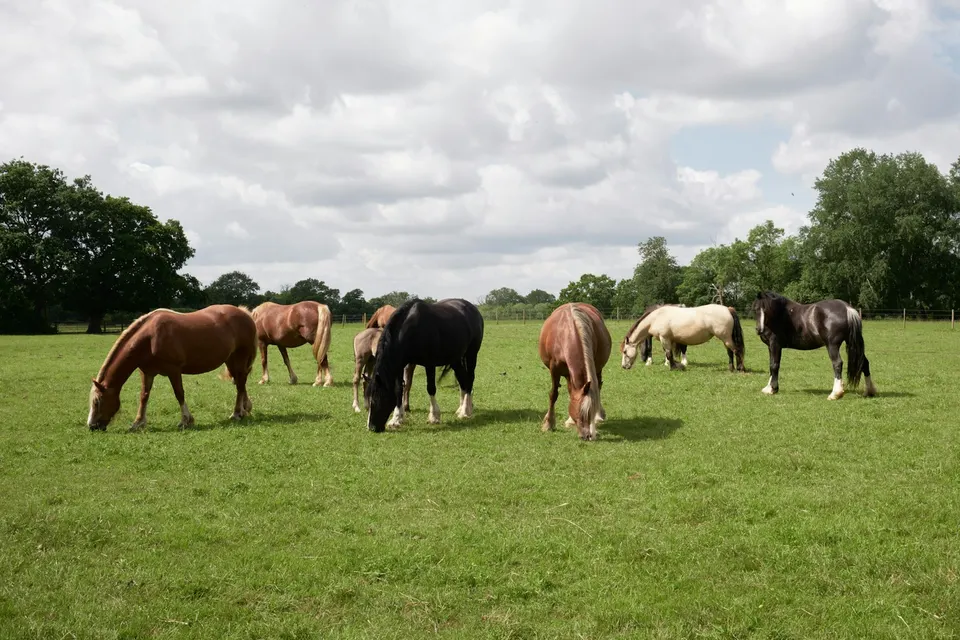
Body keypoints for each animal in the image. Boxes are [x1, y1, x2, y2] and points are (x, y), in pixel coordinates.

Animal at [87, 305, 257, 431]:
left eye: (97, 402)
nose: (92, 426)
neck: (150, 338)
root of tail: (244, 313)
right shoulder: (147, 372)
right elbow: (144, 396)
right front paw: (138, 423)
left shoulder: (173, 370)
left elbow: (179, 394)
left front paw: (186, 420)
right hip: (230, 360)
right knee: (240, 382)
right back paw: (245, 409)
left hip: (240, 357)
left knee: (240, 383)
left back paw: (237, 413)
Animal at [364, 298, 484, 432]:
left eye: (376, 399)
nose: (372, 427)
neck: (411, 329)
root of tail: (473, 309)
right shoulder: (400, 366)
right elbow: (399, 389)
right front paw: (397, 419)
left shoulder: (429, 363)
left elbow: (431, 388)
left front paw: (434, 416)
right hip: (455, 359)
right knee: (463, 380)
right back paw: (462, 408)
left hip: (471, 354)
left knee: (470, 379)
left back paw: (466, 411)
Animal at [538, 302, 612, 441]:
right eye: (580, 412)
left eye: (590, 412)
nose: (587, 436)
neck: (567, 332)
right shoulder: (554, 370)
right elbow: (553, 394)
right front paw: (549, 424)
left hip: (597, 369)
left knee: (598, 386)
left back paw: (598, 416)